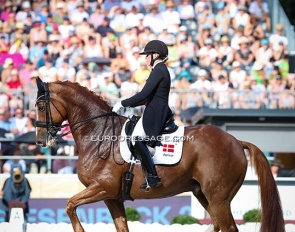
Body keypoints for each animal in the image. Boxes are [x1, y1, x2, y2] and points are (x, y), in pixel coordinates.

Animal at [35, 78, 286, 232]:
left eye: (40, 106)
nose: (39, 140)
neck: (100, 134)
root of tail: (236, 141)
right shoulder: (112, 197)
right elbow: (121, 227)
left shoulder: (102, 188)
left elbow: (69, 205)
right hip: (204, 194)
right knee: (217, 224)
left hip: (219, 197)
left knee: (228, 227)